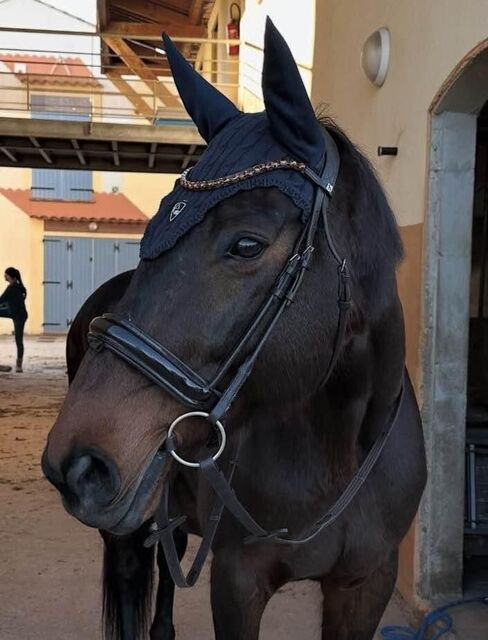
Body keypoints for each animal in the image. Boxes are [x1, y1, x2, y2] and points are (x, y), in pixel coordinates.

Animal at [42, 19, 426, 640]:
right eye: (153, 226)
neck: (337, 454)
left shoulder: (366, 585)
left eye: (246, 244)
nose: (75, 463)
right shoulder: (238, 582)